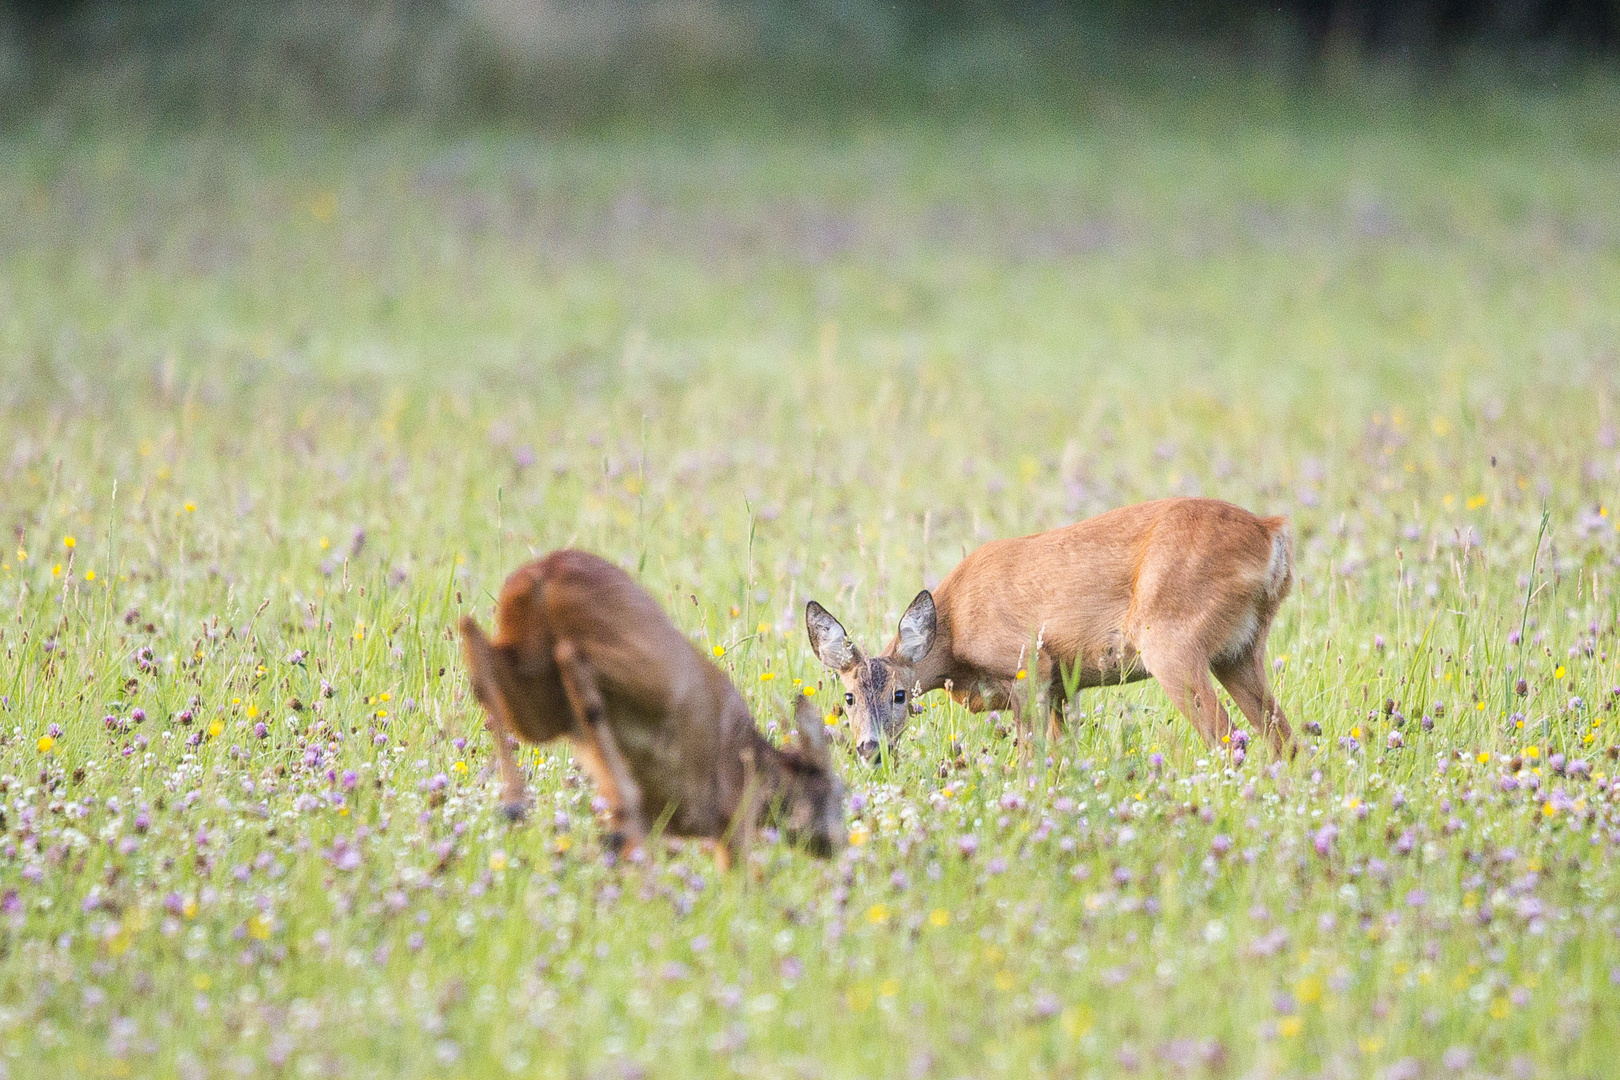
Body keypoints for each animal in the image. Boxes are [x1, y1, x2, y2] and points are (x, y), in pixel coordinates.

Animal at [463, 550, 842, 861]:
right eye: (838, 789)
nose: (834, 846)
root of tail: (539, 573)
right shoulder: (734, 826)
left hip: (538, 704)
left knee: (473, 638)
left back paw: (521, 805)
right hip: (638, 670)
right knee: (573, 659)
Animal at [803, 498, 1296, 761]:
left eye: (900, 695)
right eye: (848, 697)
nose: (870, 747)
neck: (955, 633)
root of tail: (1270, 533)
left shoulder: (1029, 662)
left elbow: (1032, 758)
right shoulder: (1060, 684)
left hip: (1172, 640)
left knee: (1227, 738)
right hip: (1241, 649)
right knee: (1285, 740)